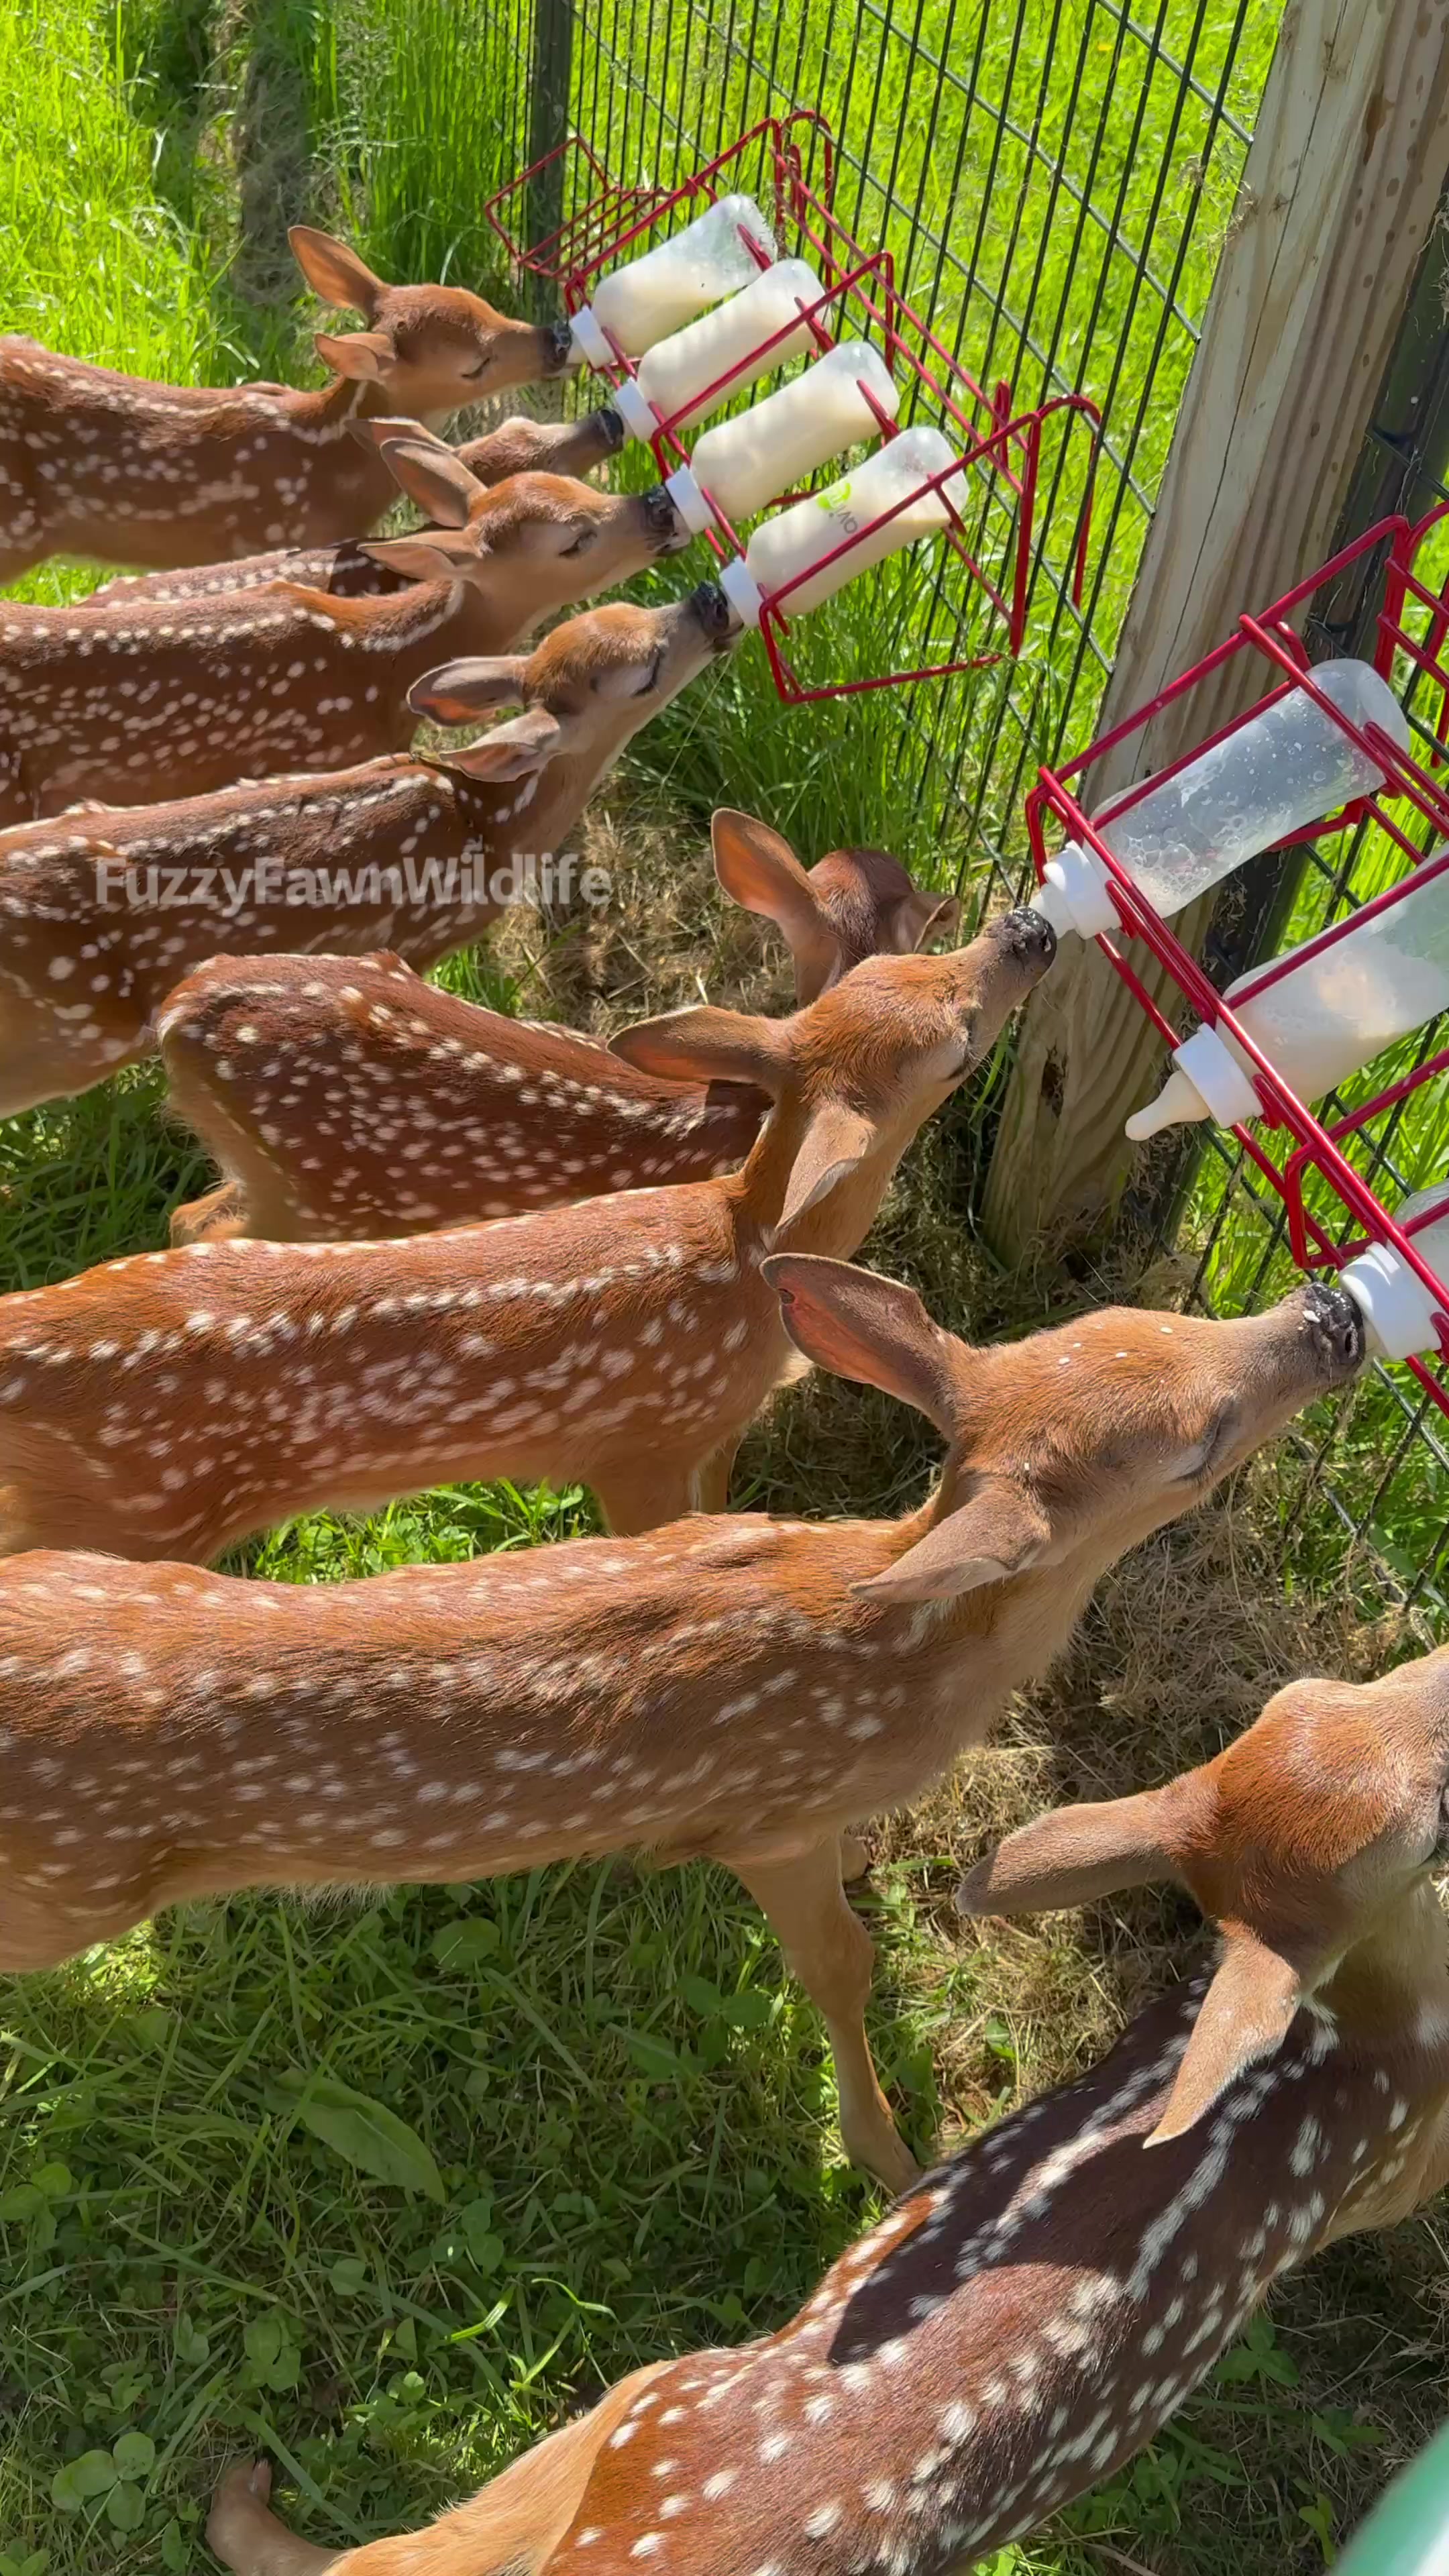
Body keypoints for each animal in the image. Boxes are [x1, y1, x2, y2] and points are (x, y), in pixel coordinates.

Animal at [0, 588, 735, 1118]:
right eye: (644, 673)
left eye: (631, 609)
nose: (709, 598)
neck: (491, 829)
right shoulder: (417, 939)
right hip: (65, 1036)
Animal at [0, 908, 1057, 1565]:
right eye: (960, 1050)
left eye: (907, 960)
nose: (1032, 928)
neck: (746, 1251)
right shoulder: (638, 1449)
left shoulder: (713, 1430)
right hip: (139, 1503)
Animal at [0, 1262, 1362, 2196]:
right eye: (1196, 1447)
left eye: (1166, 1322)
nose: (1330, 1317)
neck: (913, 1669)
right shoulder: (770, 1822)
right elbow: (841, 1967)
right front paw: (886, 2153)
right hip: (63, 1891)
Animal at [204, 1633, 1449, 2576]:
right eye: (1423, 1828)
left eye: (1323, 1690)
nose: (1440, 1667)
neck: (1365, 2035)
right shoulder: (1391, 2167)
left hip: (634, 2405)